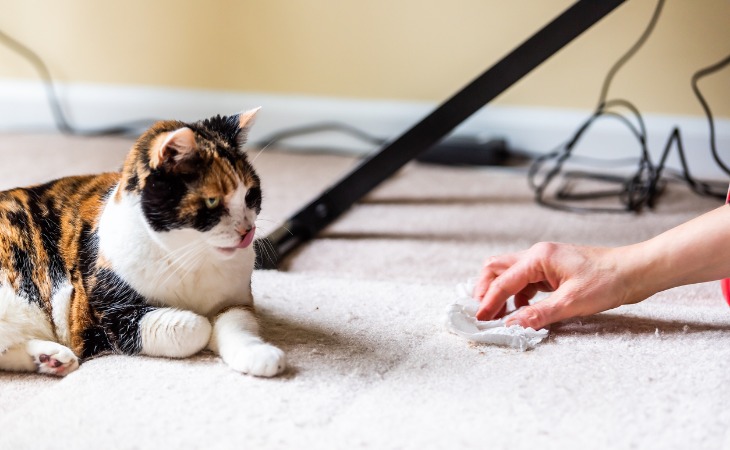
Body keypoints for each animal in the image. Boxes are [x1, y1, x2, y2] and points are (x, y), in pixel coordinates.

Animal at [0, 108, 286, 376]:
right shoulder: (106, 315)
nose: (248, 231)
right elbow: (195, 327)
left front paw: (259, 355)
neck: (190, 257)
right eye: (212, 201)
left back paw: (51, 358)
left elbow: (237, 324)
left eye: (250, 194)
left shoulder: (236, 300)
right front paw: (201, 325)